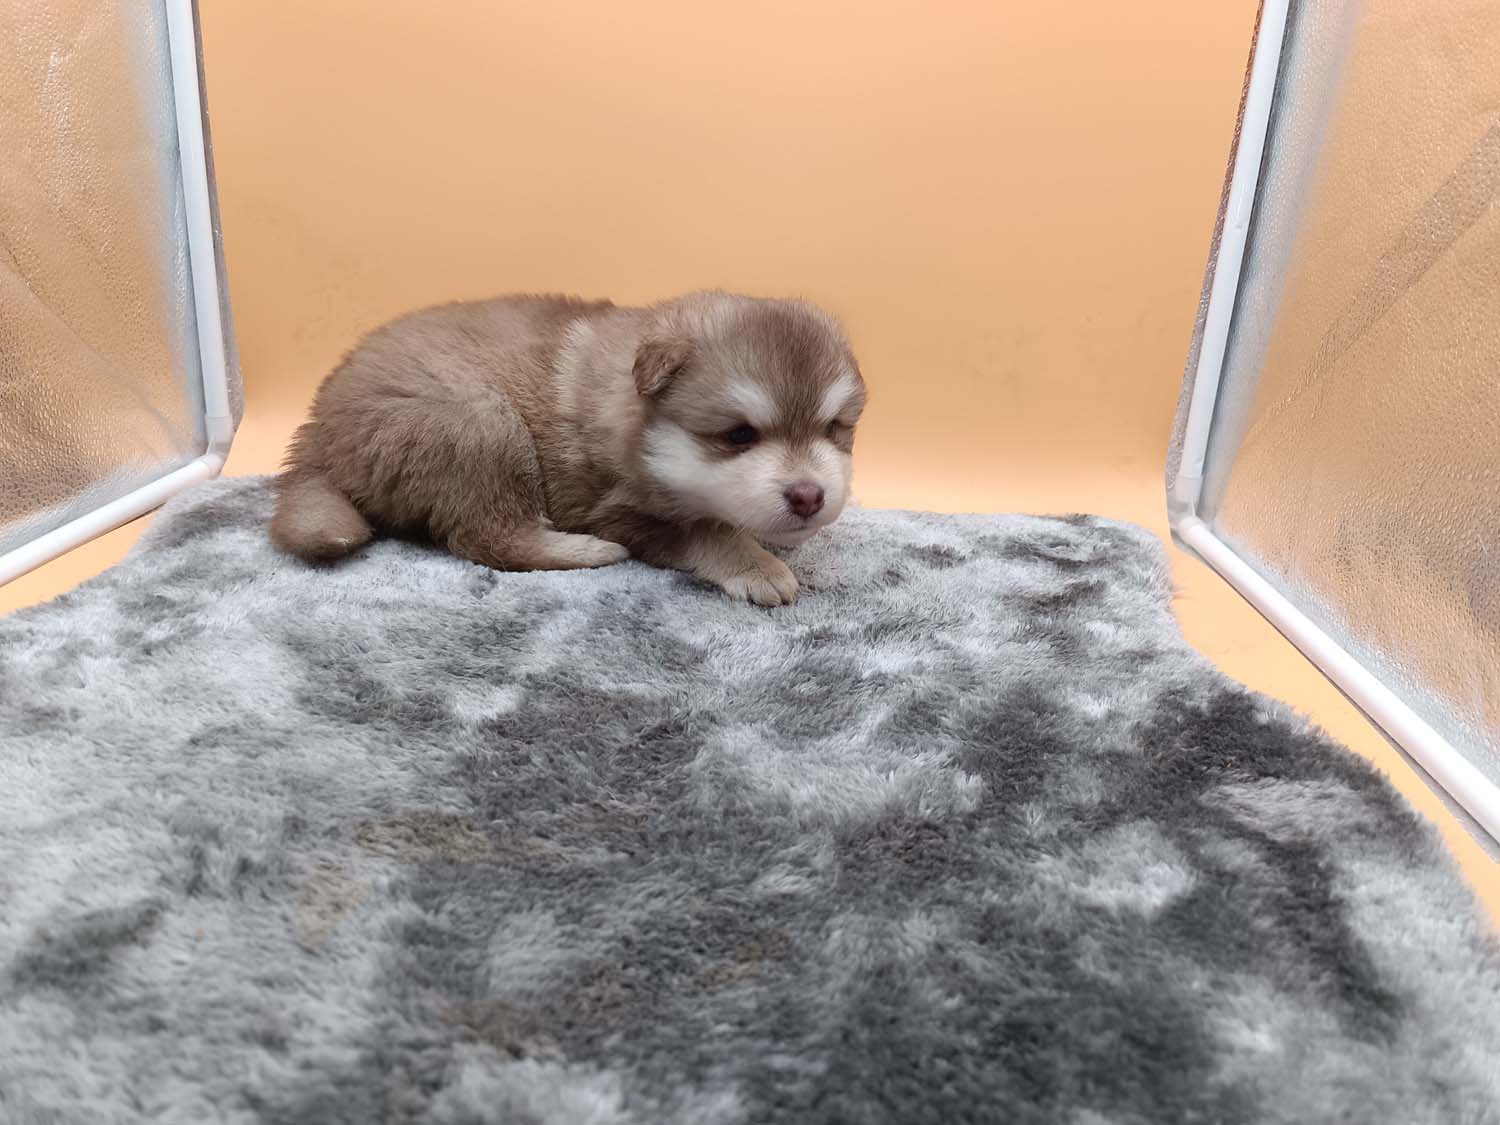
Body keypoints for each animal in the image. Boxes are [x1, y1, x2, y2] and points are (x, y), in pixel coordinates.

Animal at [269, 290, 867, 605]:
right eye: (739, 434)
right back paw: (586, 551)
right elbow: (707, 531)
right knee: (489, 537)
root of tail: (317, 432)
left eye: (833, 428)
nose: (809, 496)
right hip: (482, 423)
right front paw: (757, 567)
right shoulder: (614, 507)